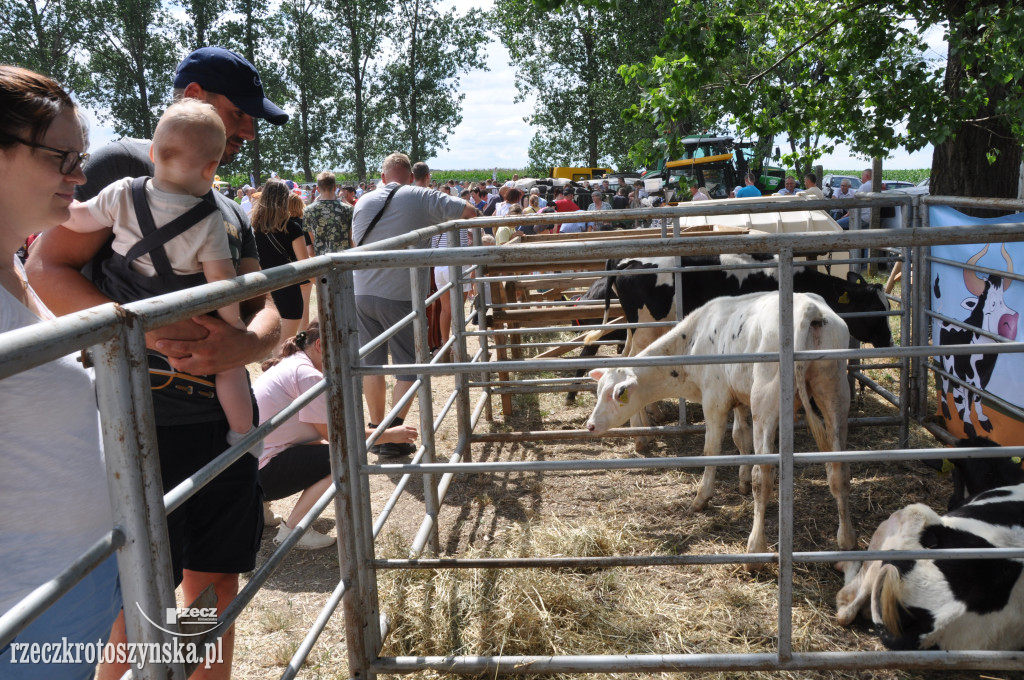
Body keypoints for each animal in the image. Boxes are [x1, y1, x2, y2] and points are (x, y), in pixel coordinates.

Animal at [585, 290, 856, 561]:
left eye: (616, 394)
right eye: (599, 391)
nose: (590, 425)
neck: (692, 340)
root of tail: (809, 310)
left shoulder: (715, 399)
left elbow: (712, 450)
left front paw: (702, 497)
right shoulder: (738, 397)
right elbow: (740, 438)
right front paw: (741, 481)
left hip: (766, 399)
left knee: (764, 477)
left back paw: (755, 548)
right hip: (834, 391)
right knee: (839, 469)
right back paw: (845, 540)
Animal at [937, 242, 1015, 436]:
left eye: (1002, 301)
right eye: (988, 304)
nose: (1010, 322)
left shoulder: (984, 377)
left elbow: (979, 396)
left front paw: (982, 420)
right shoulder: (965, 374)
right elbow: (965, 397)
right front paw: (967, 423)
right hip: (946, 363)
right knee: (946, 382)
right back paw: (948, 410)